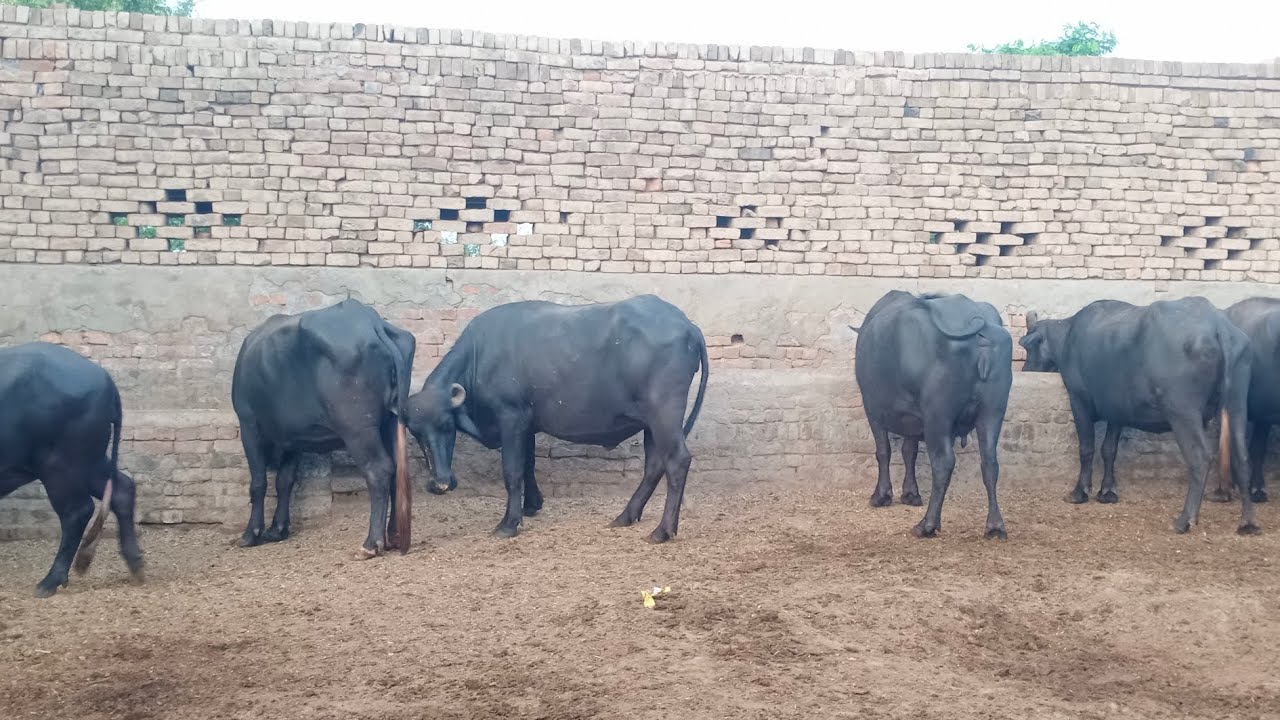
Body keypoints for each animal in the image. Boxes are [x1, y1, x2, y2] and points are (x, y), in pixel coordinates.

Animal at [0, 342, 144, 597]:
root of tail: (106, 379)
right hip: (91, 461)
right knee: (122, 490)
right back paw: (135, 565)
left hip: (61, 465)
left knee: (77, 511)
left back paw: (49, 582)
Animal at [231, 299, 416, 557]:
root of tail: (371, 321)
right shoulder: (292, 439)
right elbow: (285, 481)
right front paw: (277, 529)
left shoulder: (248, 424)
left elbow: (258, 483)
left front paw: (251, 533)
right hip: (390, 421)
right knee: (396, 471)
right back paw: (394, 534)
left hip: (358, 429)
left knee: (379, 470)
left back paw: (371, 543)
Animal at [405, 294, 709, 543]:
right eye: (416, 433)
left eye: (446, 426)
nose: (440, 484)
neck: (482, 357)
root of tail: (687, 325)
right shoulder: (526, 426)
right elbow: (528, 465)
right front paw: (531, 505)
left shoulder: (510, 418)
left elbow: (512, 471)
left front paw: (508, 523)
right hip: (650, 424)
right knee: (654, 465)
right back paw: (625, 516)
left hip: (664, 415)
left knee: (677, 461)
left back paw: (662, 531)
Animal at [853, 290, 1014, 540]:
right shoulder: (912, 420)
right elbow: (909, 452)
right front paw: (910, 494)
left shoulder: (873, 409)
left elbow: (883, 451)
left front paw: (881, 495)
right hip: (992, 412)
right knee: (990, 463)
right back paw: (995, 526)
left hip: (938, 417)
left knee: (943, 462)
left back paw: (927, 524)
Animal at [1019, 297, 1259, 535]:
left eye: (1030, 347)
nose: (1025, 369)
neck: (1069, 336)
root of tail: (1219, 326)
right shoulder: (1116, 412)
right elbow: (1109, 450)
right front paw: (1107, 491)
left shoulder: (1079, 401)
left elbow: (1086, 449)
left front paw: (1080, 491)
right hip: (1236, 405)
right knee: (1243, 458)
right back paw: (1247, 522)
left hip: (1183, 413)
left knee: (1200, 458)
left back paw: (1184, 519)